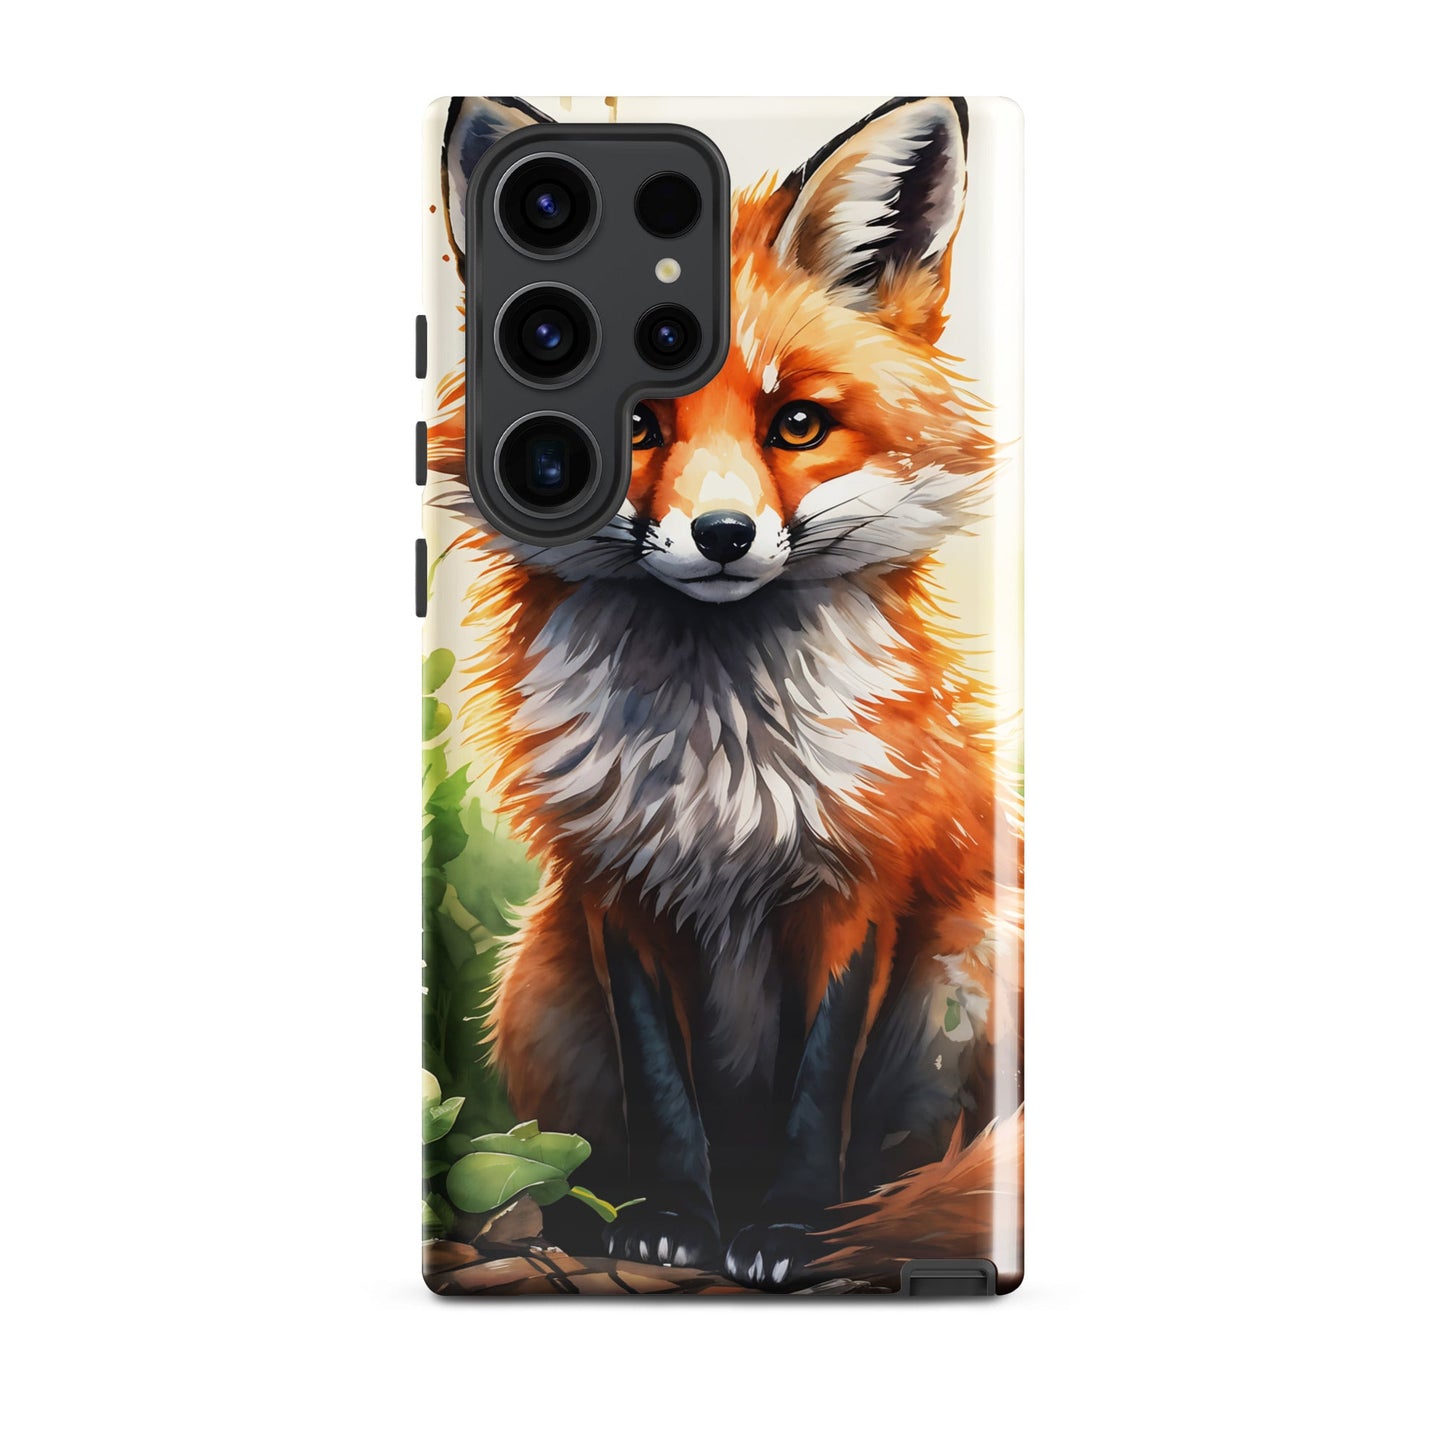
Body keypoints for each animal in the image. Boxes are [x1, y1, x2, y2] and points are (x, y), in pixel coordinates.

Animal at [429, 96, 1023, 1289]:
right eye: (634, 423)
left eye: (796, 423)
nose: (720, 535)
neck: (721, 765)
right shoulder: (614, 884)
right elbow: (663, 1090)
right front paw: (670, 1218)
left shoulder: (858, 880)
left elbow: (816, 1089)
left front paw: (787, 1229)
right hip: (536, 979)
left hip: (973, 959)